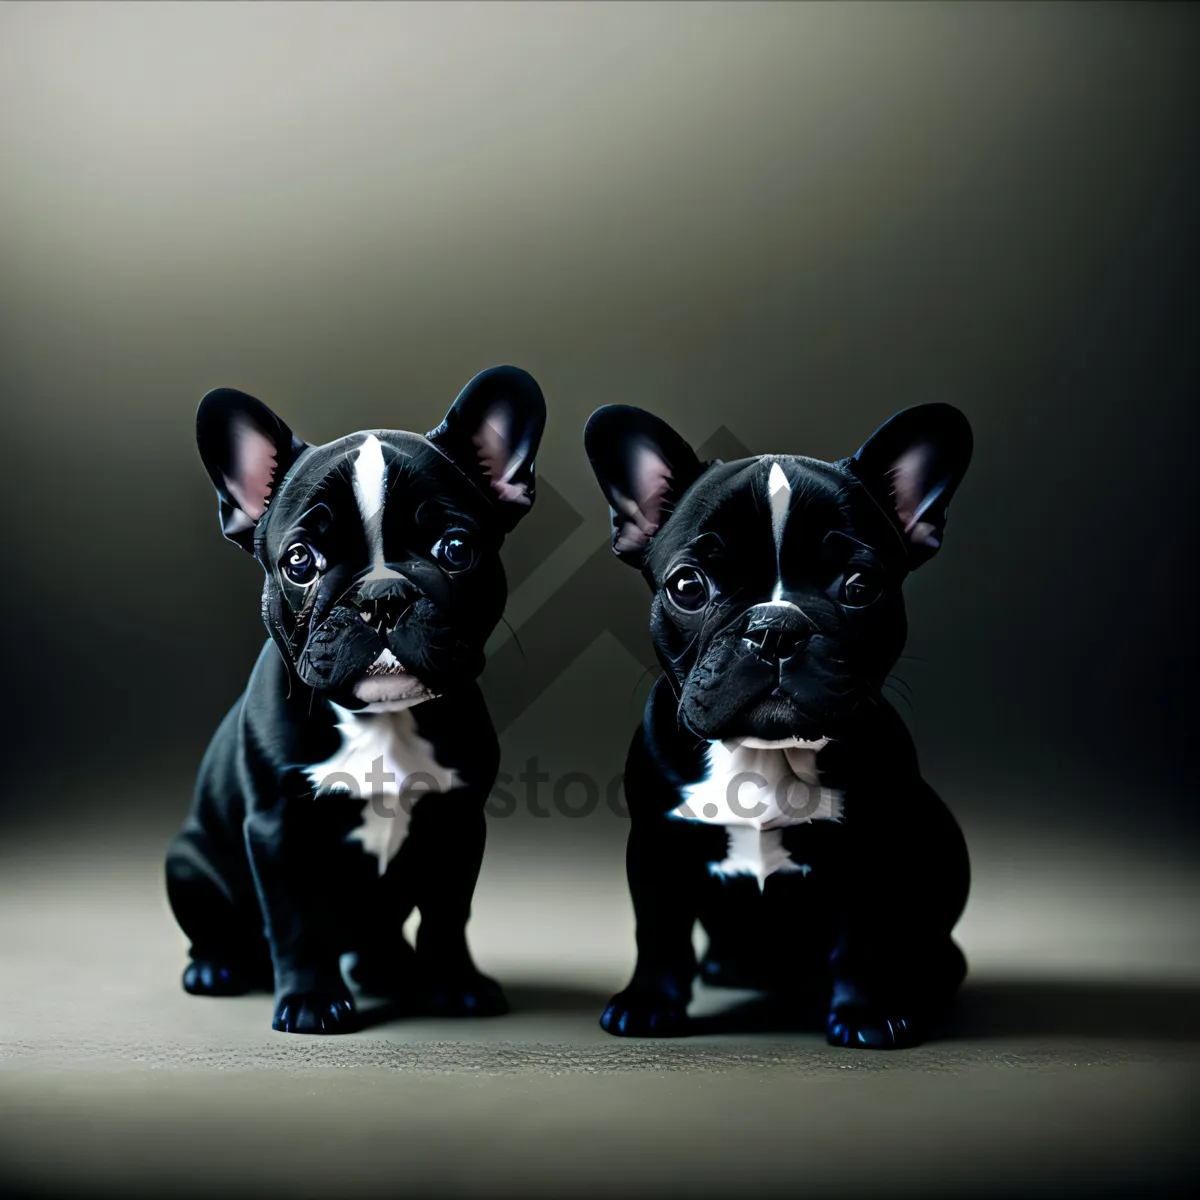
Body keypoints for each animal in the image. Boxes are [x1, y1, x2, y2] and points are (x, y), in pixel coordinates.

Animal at [166, 362, 547, 1032]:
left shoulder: (458, 821)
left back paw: (388, 966)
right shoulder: (278, 829)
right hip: (187, 864)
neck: (380, 720)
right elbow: (294, 922)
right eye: (300, 561)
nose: (381, 596)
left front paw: (457, 985)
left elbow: (449, 915)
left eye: (457, 549)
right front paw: (311, 1001)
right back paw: (216, 968)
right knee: (218, 931)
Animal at [585, 403, 969, 1051]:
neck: (765, 753)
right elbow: (659, 931)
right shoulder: (658, 845)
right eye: (687, 585)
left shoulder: (871, 850)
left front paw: (866, 1013)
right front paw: (649, 1003)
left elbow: (860, 942)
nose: (775, 628)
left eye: (860, 586)